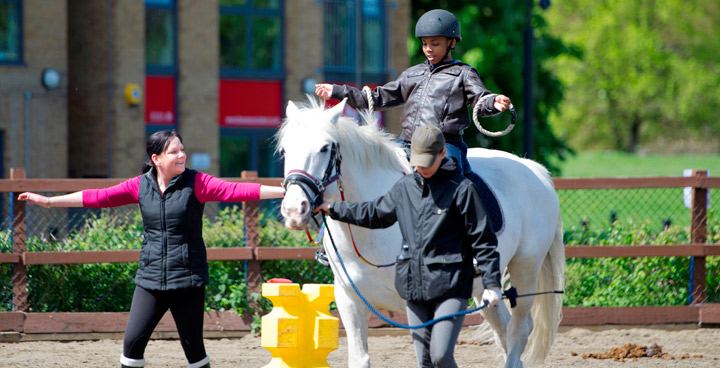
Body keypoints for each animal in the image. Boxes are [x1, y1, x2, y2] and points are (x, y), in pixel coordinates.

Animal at [278, 98, 564, 368]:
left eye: (325, 148)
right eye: (285, 150)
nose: (294, 210)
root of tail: (534, 170)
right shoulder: (349, 300)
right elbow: (360, 359)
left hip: (526, 270)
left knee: (520, 328)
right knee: (503, 328)